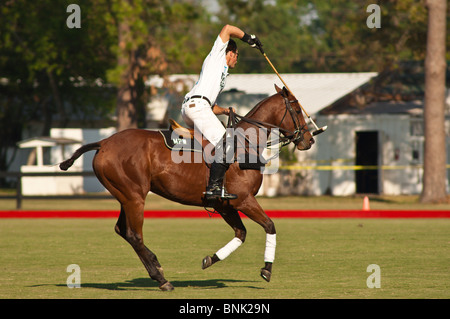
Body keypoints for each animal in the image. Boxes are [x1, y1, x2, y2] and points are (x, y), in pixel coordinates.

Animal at [59, 84, 312, 290]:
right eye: (297, 109)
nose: (309, 140)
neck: (246, 143)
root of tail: (103, 142)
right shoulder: (244, 200)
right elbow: (270, 225)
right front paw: (267, 270)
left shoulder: (224, 205)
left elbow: (241, 233)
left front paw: (210, 259)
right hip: (134, 197)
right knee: (134, 234)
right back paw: (162, 279)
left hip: (124, 195)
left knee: (122, 230)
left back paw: (157, 267)